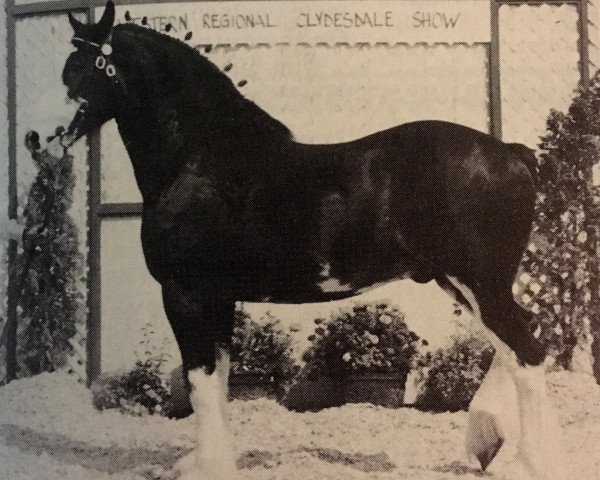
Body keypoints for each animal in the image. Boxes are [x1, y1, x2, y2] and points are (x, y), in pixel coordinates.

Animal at [58, 2, 560, 476]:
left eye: (83, 66)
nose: (56, 130)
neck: (202, 161)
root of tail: (510, 154)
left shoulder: (186, 294)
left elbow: (199, 383)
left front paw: (209, 467)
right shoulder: (216, 297)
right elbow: (218, 381)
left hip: (481, 283)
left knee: (527, 353)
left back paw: (528, 463)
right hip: (461, 283)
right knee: (514, 345)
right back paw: (489, 445)